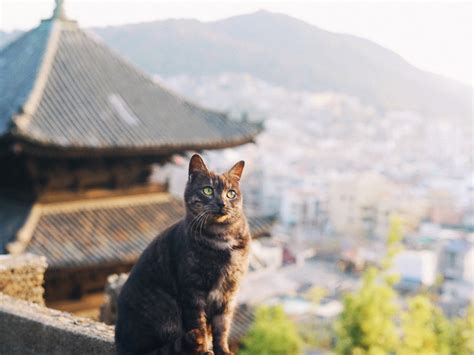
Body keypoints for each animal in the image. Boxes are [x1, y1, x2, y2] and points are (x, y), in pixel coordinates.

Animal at [115, 155, 252, 355]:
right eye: (208, 190)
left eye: (231, 193)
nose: (222, 203)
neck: (222, 237)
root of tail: (124, 345)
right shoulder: (192, 291)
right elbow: (199, 324)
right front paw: (205, 350)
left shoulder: (228, 292)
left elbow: (222, 327)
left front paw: (223, 350)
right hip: (166, 309)